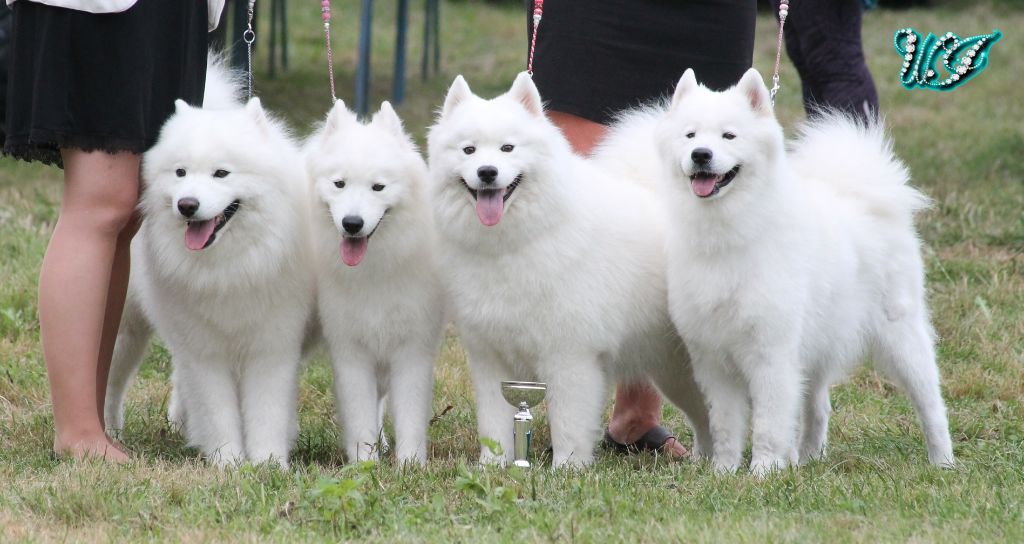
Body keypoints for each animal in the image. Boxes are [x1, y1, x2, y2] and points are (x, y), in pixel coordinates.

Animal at [104, 61, 313, 467]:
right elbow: (218, 411)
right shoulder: (204, 352)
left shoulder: (272, 346)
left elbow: (267, 412)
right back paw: (108, 434)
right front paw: (228, 462)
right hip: (127, 330)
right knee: (109, 382)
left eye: (221, 173)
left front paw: (268, 464)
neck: (228, 266)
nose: (187, 204)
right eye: (180, 173)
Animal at [301, 99, 442, 467]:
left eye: (378, 187)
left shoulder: (411, 351)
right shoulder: (351, 353)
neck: (374, 271)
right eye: (339, 184)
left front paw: (410, 466)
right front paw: (366, 464)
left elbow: (409, 418)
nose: (352, 223)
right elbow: (360, 417)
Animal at [428, 70, 708, 467]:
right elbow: (494, 422)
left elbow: (569, 422)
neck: (514, 243)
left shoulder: (570, 355)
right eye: (469, 150)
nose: (487, 172)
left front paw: (567, 468)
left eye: (508, 149)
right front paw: (493, 466)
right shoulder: (490, 357)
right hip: (674, 370)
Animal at [598, 68, 954, 475]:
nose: (701, 154)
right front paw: (723, 471)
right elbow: (725, 424)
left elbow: (769, 422)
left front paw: (763, 471)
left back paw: (943, 461)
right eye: (690, 136)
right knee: (818, 404)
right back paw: (809, 456)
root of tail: (869, 198)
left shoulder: (771, 353)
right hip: (818, 343)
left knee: (930, 403)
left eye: (729, 136)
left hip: (900, 336)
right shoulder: (713, 358)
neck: (726, 235)